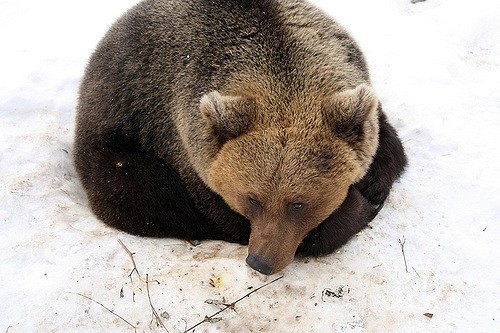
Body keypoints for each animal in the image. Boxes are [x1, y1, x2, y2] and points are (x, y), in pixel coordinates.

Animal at [76, 0, 408, 274]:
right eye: (252, 199)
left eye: (298, 204)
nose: (260, 262)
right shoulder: (178, 136)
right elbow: (215, 212)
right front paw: (359, 206)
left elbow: (387, 144)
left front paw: (372, 184)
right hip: (115, 135)